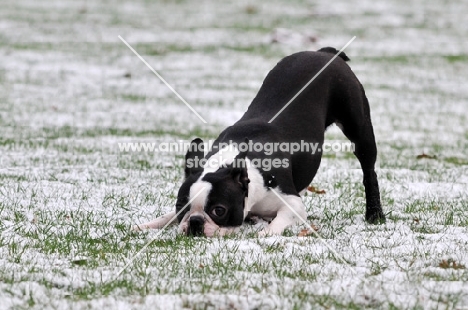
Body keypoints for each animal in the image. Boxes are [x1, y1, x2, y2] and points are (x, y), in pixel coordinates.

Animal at [135, 47, 384, 236]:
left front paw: (266, 233)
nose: (195, 222)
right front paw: (149, 224)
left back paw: (374, 214)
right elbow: (166, 217)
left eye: (219, 210)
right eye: (181, 207)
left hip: (358, 127)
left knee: (368, 170)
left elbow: (281, 220)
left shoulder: (292, 204)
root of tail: (324, 53)